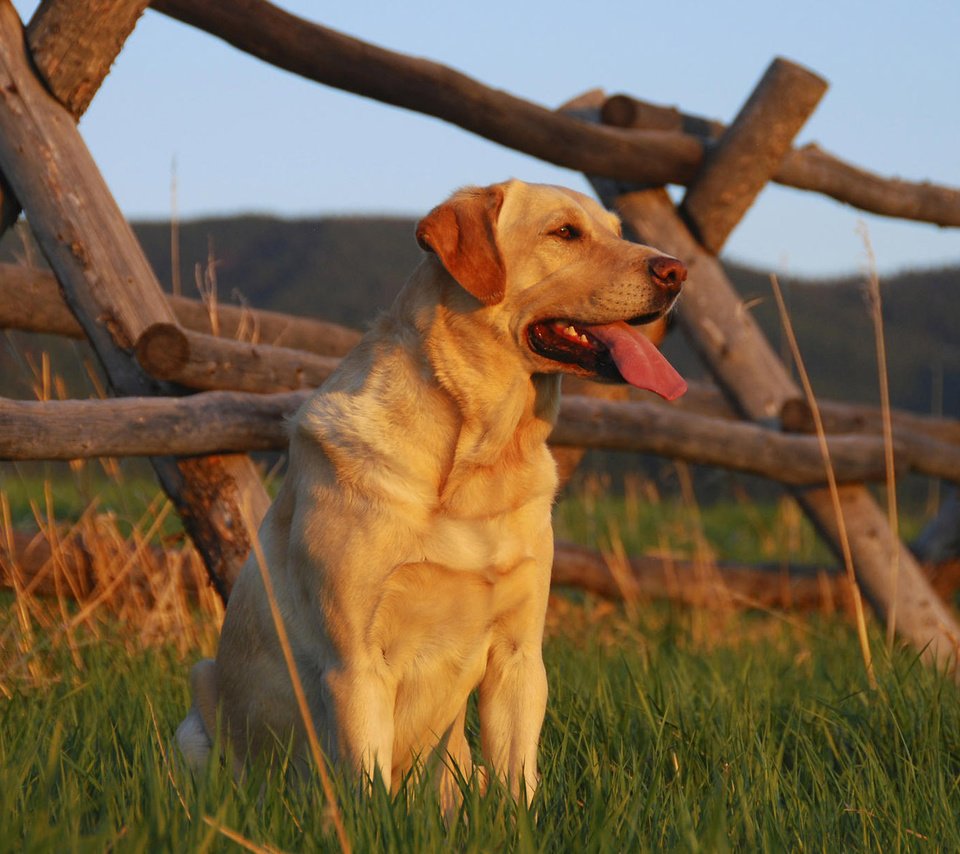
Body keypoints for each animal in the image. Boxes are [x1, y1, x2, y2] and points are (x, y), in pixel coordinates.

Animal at [176, 177, 688, 804]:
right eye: (565, 232)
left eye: (618, 231)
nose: (677, 271)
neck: (478, 460)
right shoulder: (356, 663)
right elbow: (369, 790)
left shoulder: (519, 655)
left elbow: (519, 785)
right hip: (198, 715)